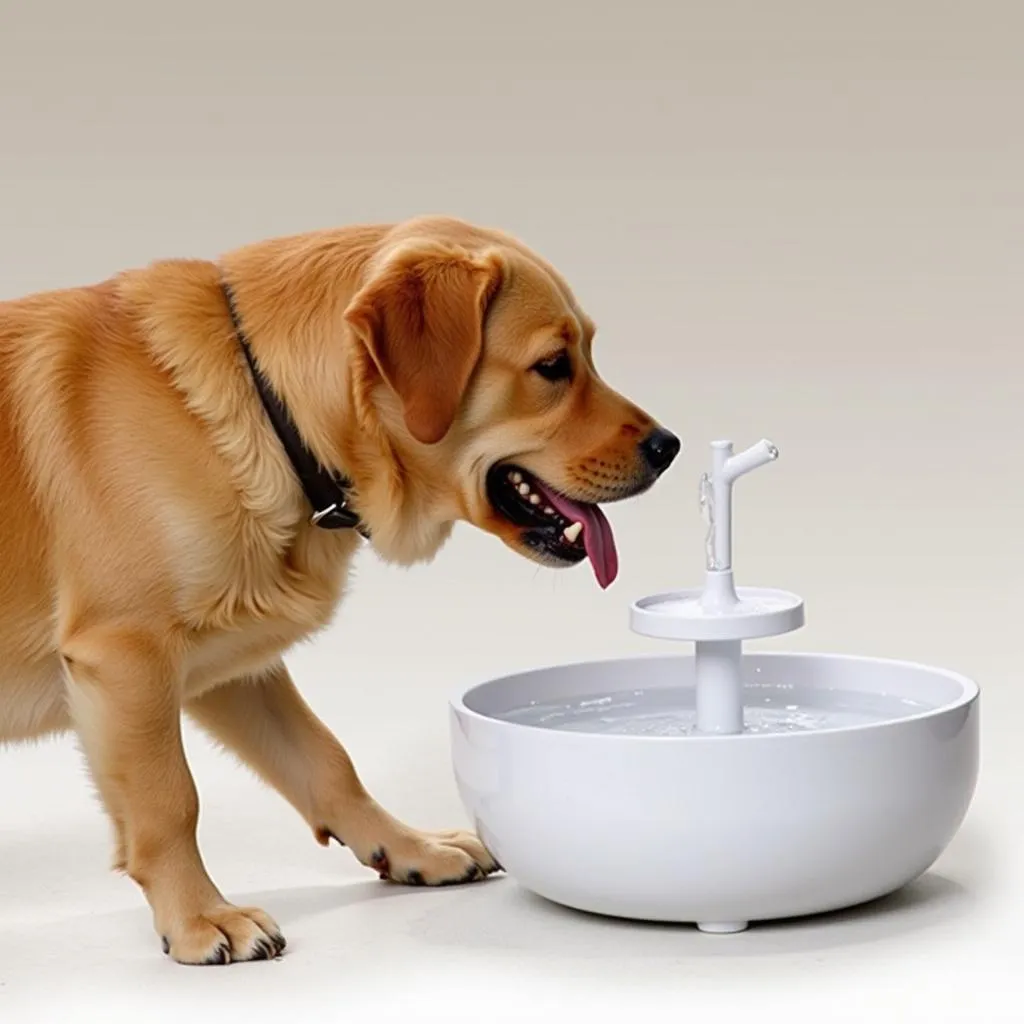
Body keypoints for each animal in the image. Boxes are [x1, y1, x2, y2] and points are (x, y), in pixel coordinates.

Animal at [0, 211, 679, 962]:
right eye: (554, 366)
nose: (670, 447)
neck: (266, 404)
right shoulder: (125, 656)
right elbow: (171, 801)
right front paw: (201, 917)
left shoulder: (228, 666)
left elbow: (326, 759)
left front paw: (409, 848)